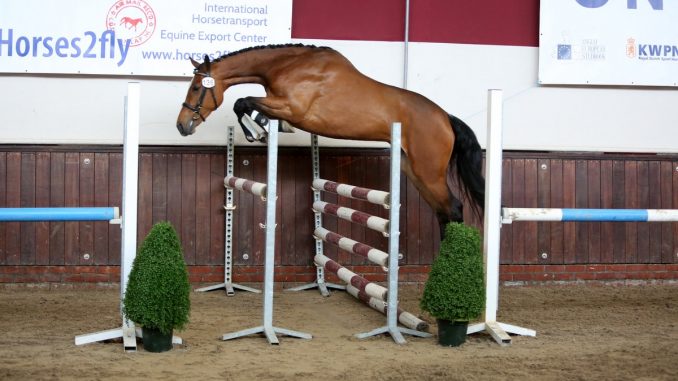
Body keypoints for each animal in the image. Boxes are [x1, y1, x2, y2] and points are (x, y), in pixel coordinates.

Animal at [175, 43, 484, 236]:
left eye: (195, 87)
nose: (182, 125)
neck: (288, 65)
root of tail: (445, 118)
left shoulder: (292, 107)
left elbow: (242, 102)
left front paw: (258, 131)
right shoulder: (280, 104)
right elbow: (246, 104)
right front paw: (261, 128)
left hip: (429, 172)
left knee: (454, 209)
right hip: (414, 170)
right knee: (443, 213)